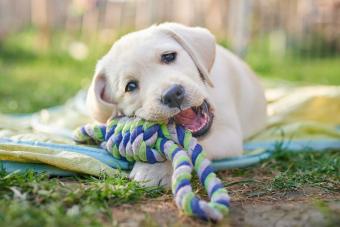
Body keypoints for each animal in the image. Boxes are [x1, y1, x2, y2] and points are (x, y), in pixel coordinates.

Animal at [86, 22, 266, 187]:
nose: (172, 95)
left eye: (168, 56)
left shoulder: (229, 135)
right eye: (130, 86)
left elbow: (189, 146)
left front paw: (155, 169)